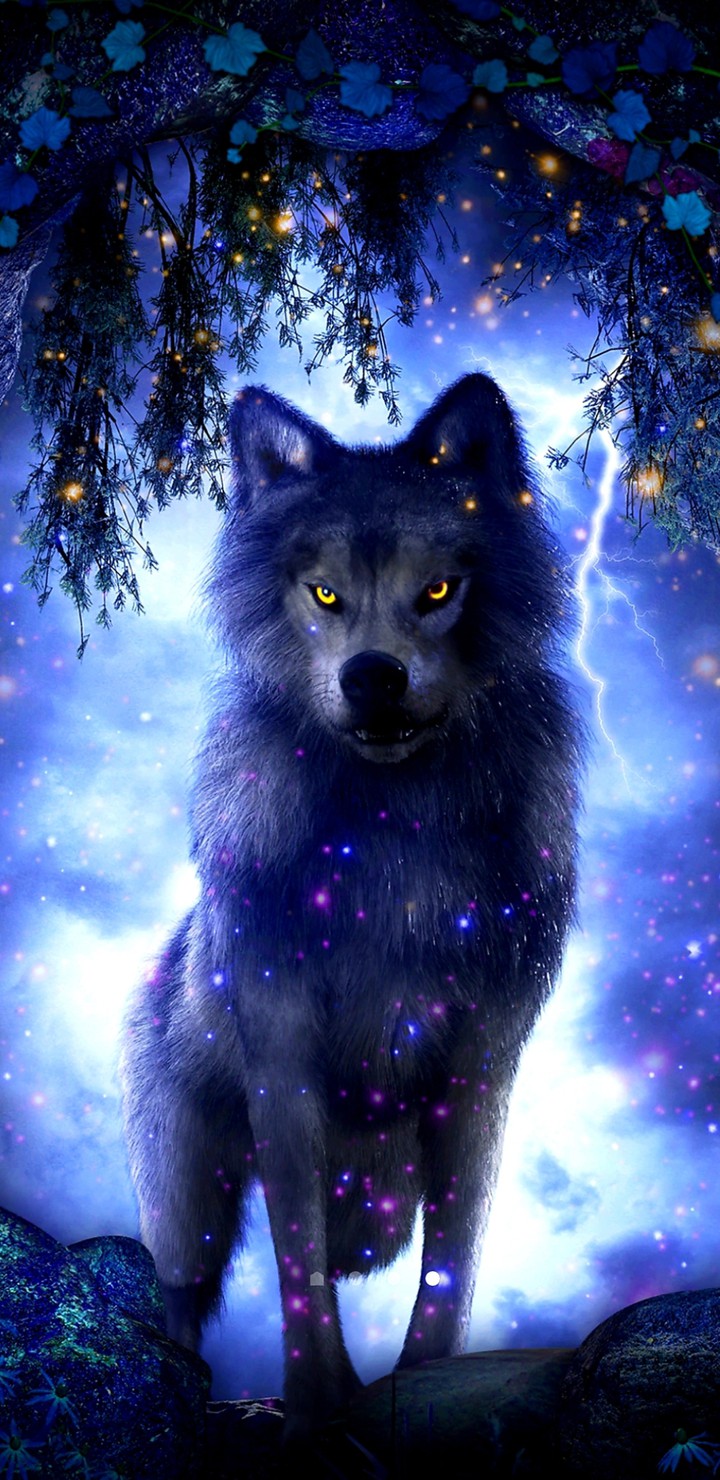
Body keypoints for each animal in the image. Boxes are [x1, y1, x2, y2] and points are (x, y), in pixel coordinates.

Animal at [120, 373, 582, 1444]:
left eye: (438, 591)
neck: (393, 844)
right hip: (187, 1200)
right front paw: (316, 1405)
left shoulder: (482, 1060)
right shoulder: (280, 1051)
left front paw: (422, 1387)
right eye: (324, 593)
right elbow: (296, 1256)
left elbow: (452, 1260)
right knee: (178, 1296)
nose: (373, 675)